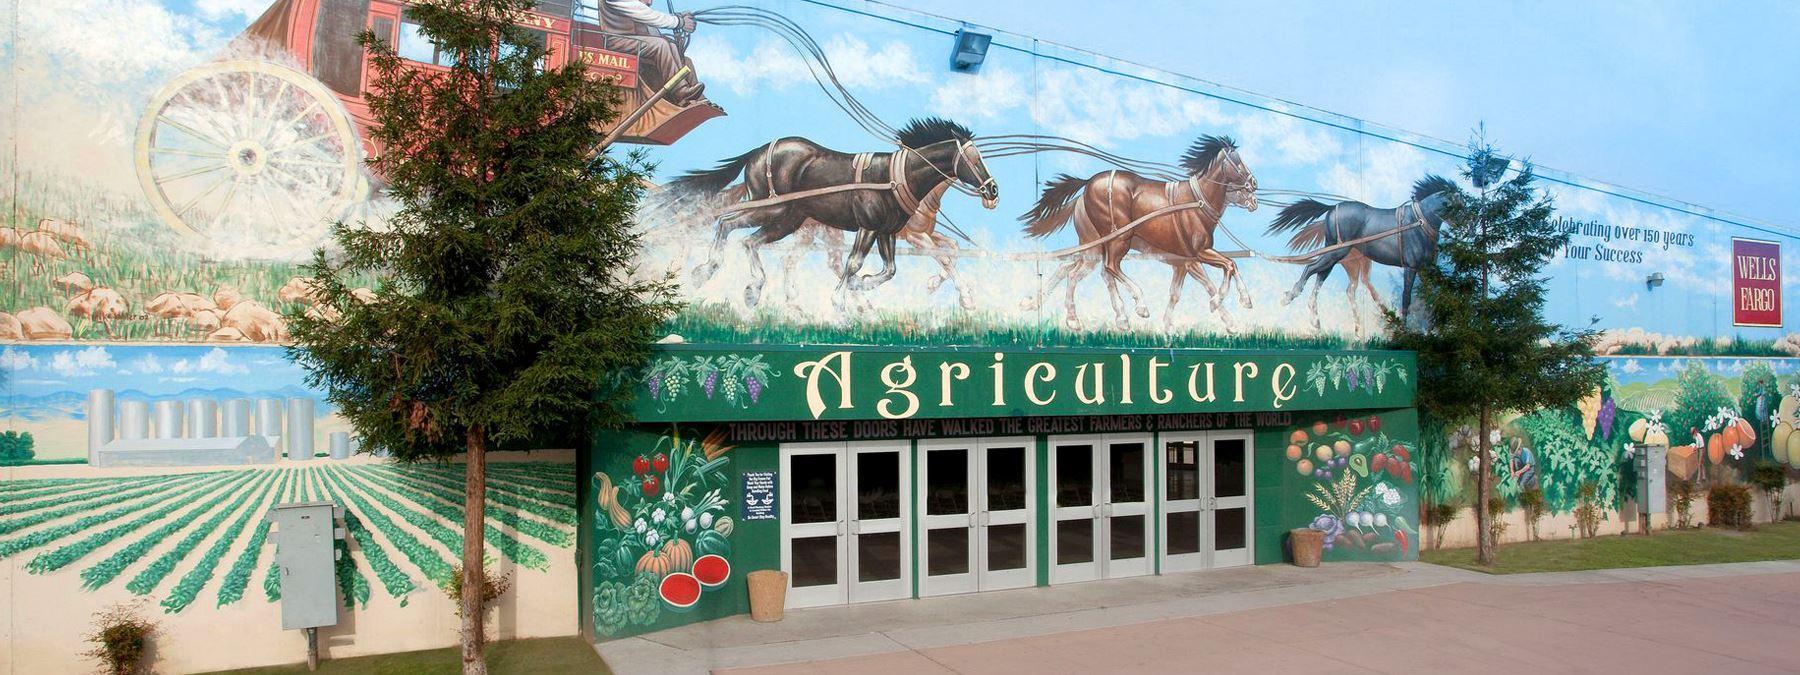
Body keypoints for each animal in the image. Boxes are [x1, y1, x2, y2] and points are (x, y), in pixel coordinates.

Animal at [1022, 135, 1260, 333]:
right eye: (1237, 160)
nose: (1253, 188)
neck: (1197, 202)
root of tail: (1088, 183)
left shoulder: (1182, 262)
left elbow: (1177, 293)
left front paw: (1169, 326)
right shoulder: (1197, 255)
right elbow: (1224, 270)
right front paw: (1230, 304)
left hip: (1094, 247)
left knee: (1074, 271)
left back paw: (1078, 318)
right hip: (1118, 240)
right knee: (1109, 268)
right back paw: (1138, 306)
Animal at [1267, 174, 1461, 331]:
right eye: (1456, 203)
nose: (1462, 225)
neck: (1419, 222)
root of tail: (1333, 207)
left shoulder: (1426, 269)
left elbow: (1431, 298)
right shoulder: (1411, 267)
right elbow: (1407, 297)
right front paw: (1404, 329)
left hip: (1336, 252)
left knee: (1321, 275)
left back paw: (1316, 321)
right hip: (1338, 252)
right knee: (1311, 268)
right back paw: (1290, 297)